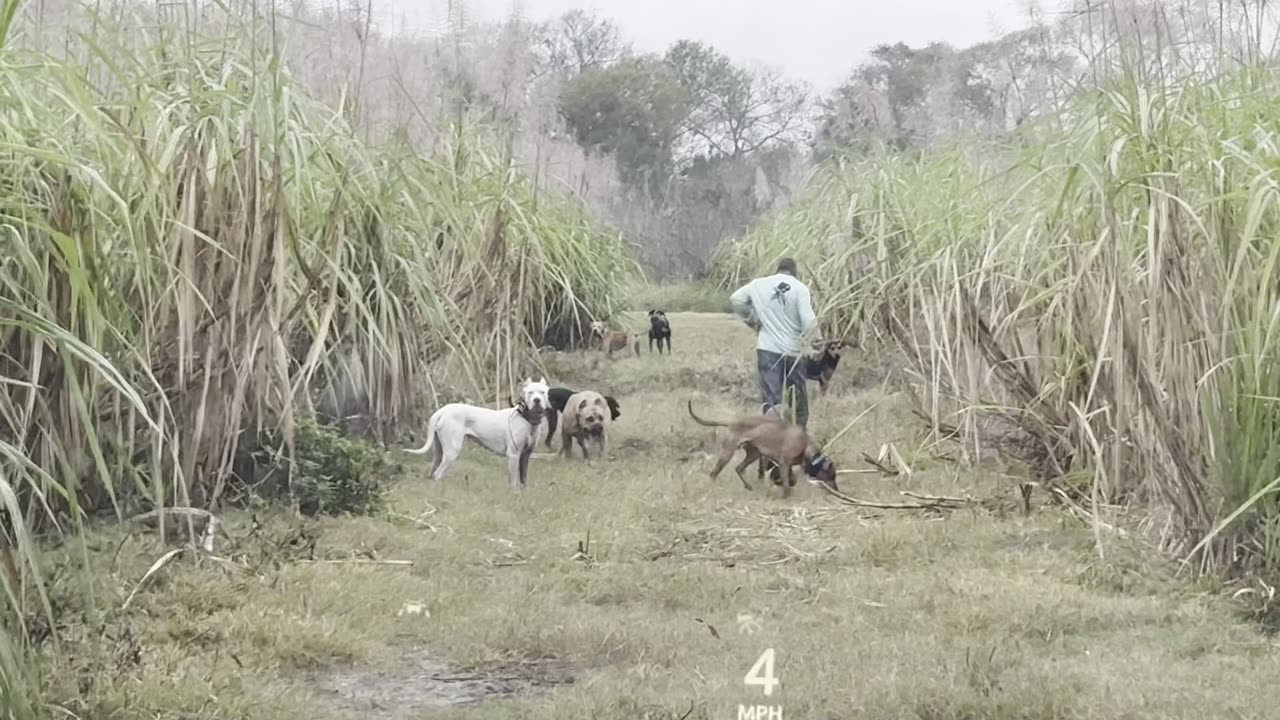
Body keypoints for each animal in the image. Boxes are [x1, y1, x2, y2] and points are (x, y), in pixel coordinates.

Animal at [407, 376, 552, 486]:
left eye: (542, 392)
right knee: (438, 474)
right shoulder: (513, 455)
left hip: (439, 451)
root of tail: (443, 410)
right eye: (530, 392)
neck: (527, 418)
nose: (537, 400)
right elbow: (513, 482)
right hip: (452, 452)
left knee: (433, 472)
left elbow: (523, 481)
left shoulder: (525, 455)